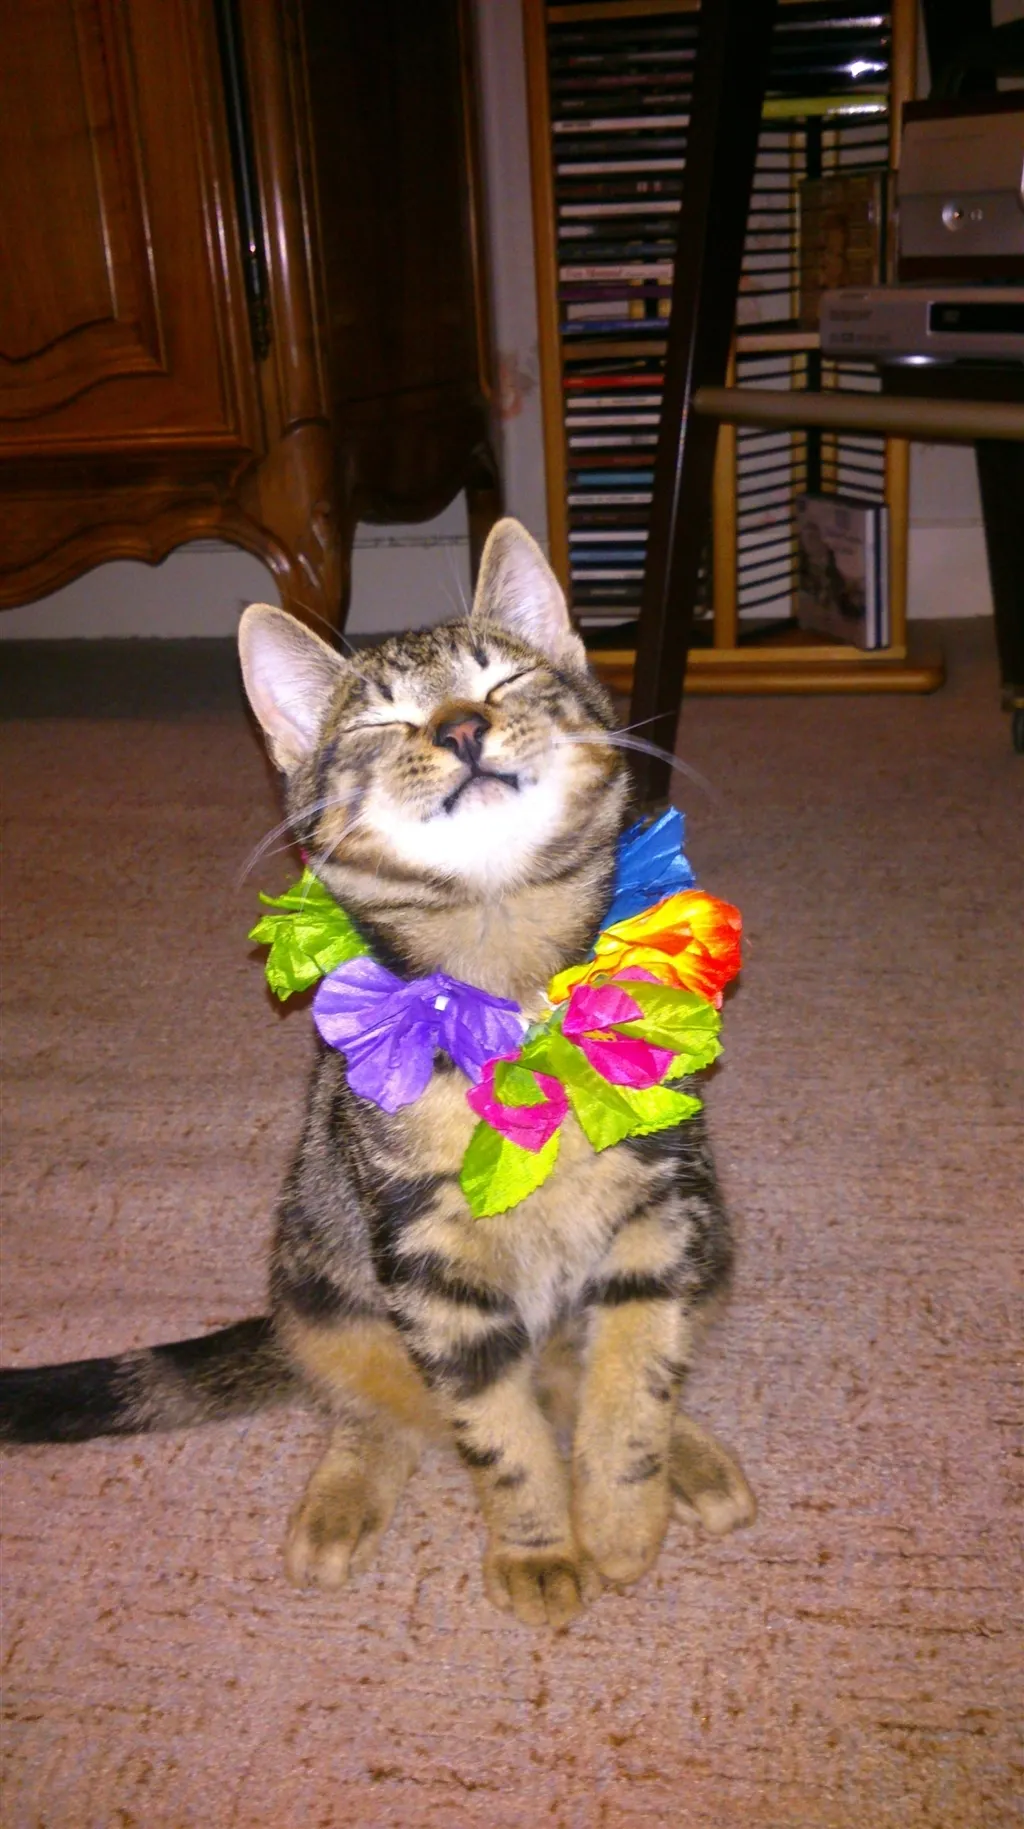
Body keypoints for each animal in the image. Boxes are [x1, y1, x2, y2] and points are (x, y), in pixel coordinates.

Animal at [0, 518, 754, 1629]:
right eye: (384, 717)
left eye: (501, 678)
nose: (460, 725)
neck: (506, 988)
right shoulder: (431, 1266)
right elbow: (500, 1434)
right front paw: (537, 1545)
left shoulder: (660, 1208)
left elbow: (632, 1376)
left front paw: (622, 1510)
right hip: (325, 1280)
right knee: (378, 1407)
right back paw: (342, 1497)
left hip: (714, 1233)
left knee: (582, 1376)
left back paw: (687, 1460)